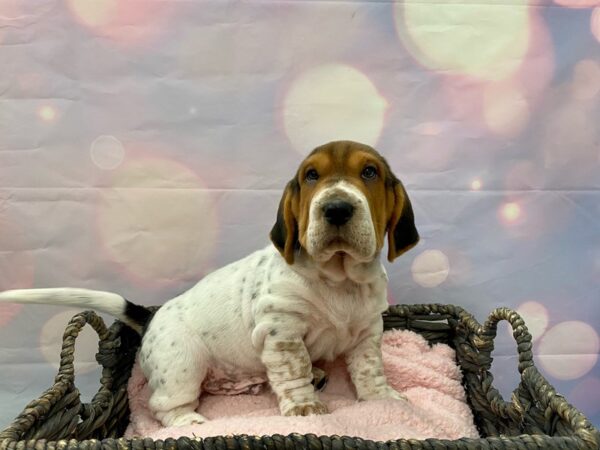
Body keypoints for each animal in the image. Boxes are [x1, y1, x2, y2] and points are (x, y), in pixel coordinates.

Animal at [0, 140, 420, 426]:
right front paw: (305, 408)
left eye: (369, 173)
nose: (336, 208)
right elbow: (294, 371)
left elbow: (369, 370)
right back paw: (188, 423)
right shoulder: (282, 333)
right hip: (183, 365)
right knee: (161, 406)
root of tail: (151, 319)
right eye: (311, 176)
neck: (339, 278)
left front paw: (383, 400)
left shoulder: (368, 332)